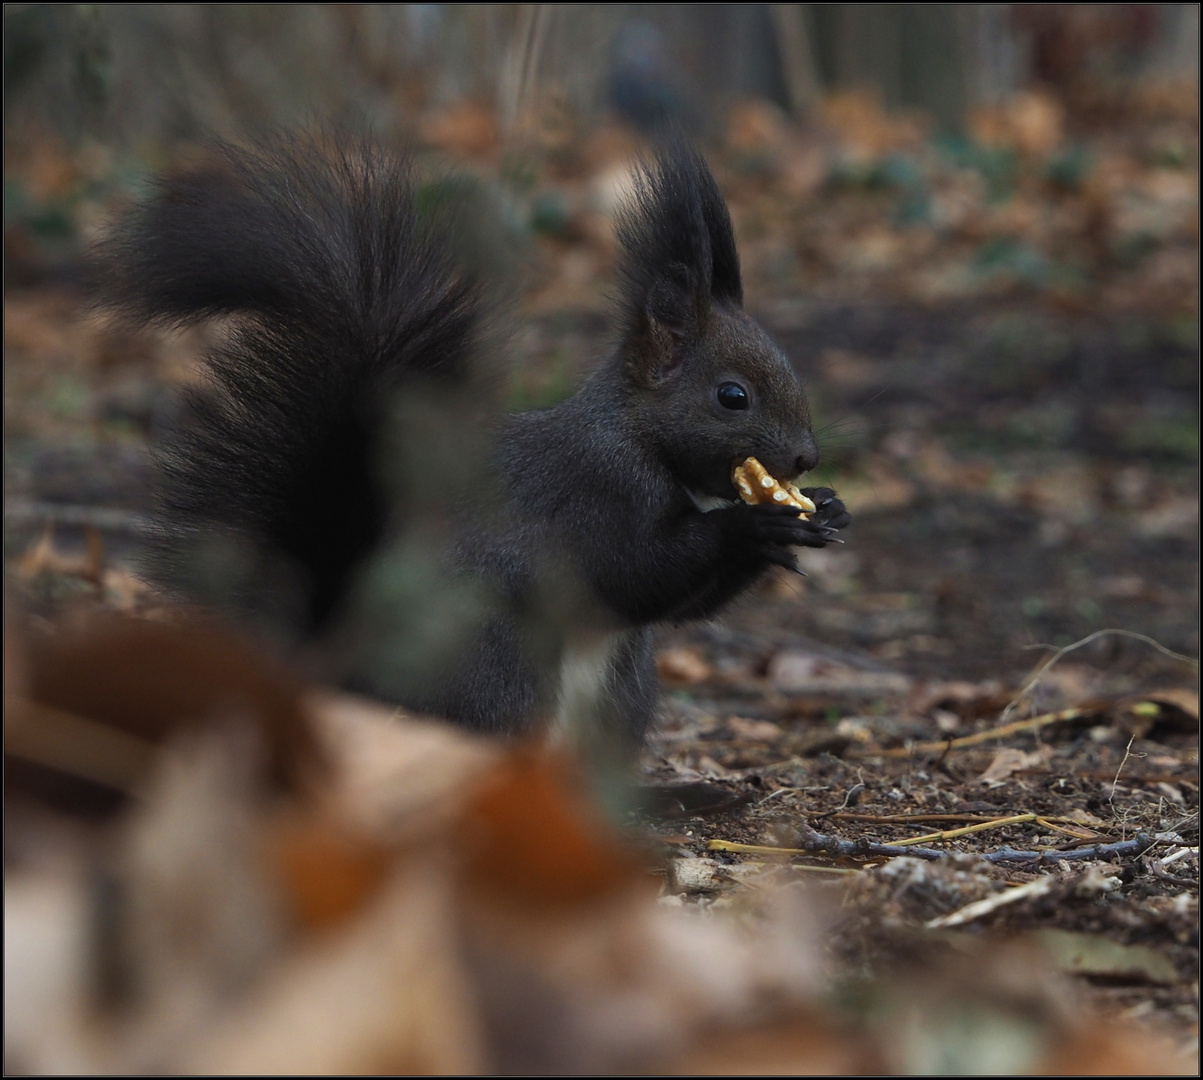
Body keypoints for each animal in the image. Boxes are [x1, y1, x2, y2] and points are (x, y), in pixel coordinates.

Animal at [91, 132, 846, 740]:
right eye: (732, 396)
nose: (805, 457)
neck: (638, 438)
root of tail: (348, 673)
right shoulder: (590, 491)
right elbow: (630, 572)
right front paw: (751, 527)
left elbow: (684, 603)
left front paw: (827, 512)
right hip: (492, 663)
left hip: (621, 693)